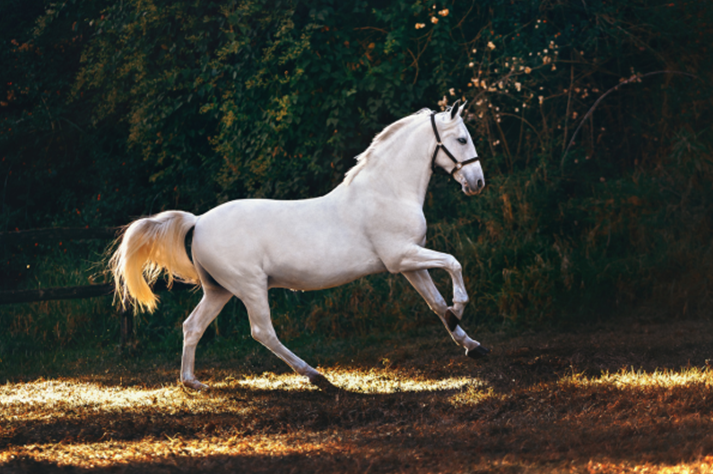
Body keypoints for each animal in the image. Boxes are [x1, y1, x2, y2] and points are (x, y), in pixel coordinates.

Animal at [109, 99, 490, 392]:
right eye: (461, 139)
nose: (477, 183)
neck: (387, 191)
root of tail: (199, 221)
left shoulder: (410, 264)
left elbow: (436, 304)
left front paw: (471, 344)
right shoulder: (401, 257)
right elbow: (453, 264)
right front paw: (460, 308)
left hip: (219, 290)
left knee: (192, 326)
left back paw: (193, 382)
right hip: (249, 287)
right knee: (263, 332)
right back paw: (317, 377)